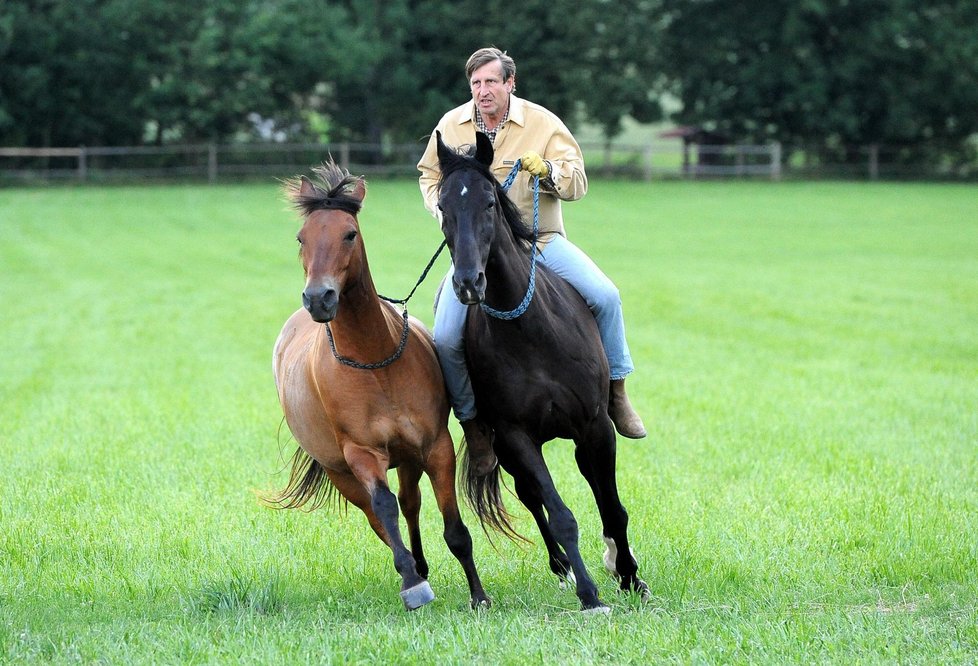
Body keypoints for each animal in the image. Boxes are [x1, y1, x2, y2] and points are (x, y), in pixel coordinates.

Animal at [268, 161, 488, 608]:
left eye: (349, 233)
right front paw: (413, 585)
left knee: (410, 503)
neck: (374, 363)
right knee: (378, 516)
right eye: (301, 237)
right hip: (340, 471)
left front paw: (479, 596)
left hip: (407, 459)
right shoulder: (362, 455)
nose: (318, 298)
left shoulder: (434, 447)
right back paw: (413, 572)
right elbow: (384, 508)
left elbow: (454, 529)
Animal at [434, 131, 648, 612]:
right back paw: (562, 566)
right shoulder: (516, 435)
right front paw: (589, 593)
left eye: (489, 202)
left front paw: (629, 575)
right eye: (442, 206)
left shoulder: (594, 426)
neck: (529, 330)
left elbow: (613, 507)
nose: (468, 284)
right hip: (504, 446)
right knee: (532, 497)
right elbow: (560, 513)